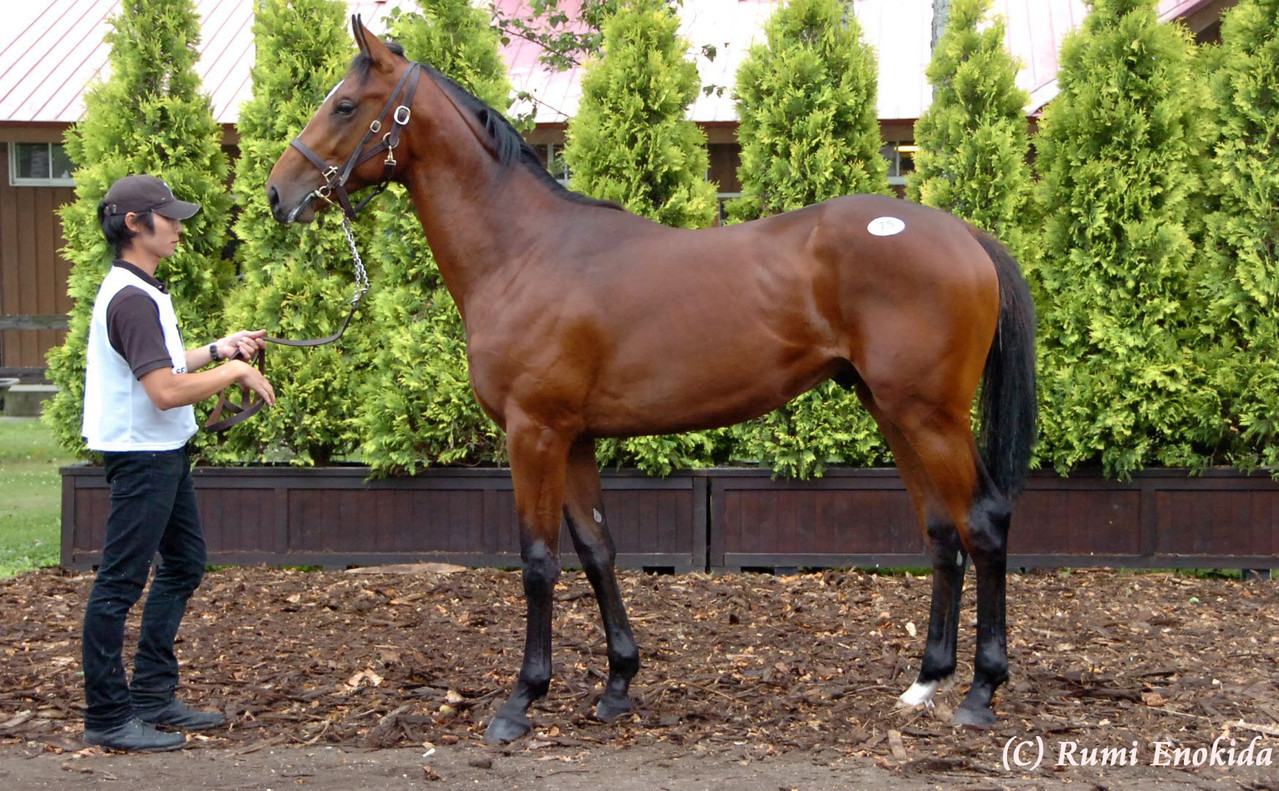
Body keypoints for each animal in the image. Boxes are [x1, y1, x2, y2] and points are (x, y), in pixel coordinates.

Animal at [266, 17, 1037, 743]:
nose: (279, 193)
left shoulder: (533, 433)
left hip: (930, 414)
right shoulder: (573, 438)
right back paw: (925, 682)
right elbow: (597, 551)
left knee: (984, 521)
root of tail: (963, 235)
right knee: (940, 530)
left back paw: (979, 693)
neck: (524, 253)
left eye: (343, 105)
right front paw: (616, 685)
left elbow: (538, 560)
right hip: (890, 409)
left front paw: (521, 701)